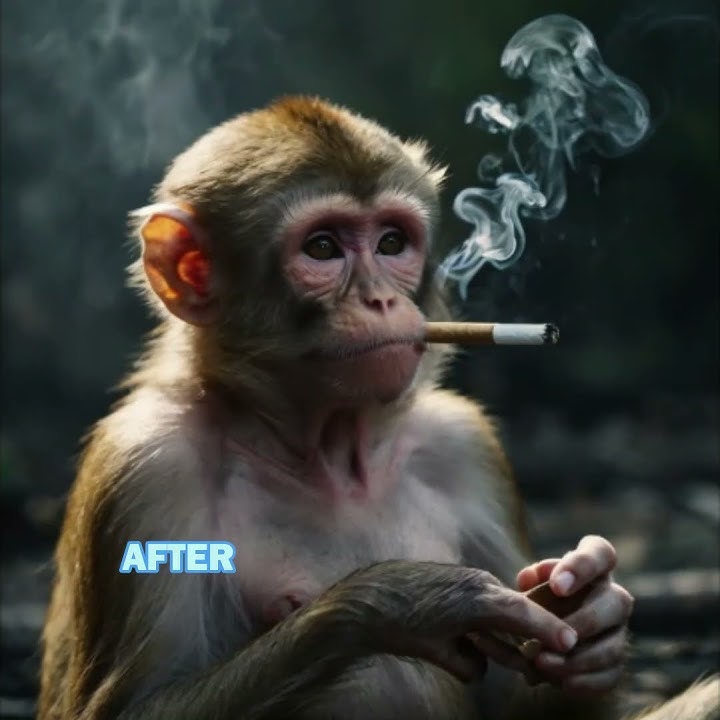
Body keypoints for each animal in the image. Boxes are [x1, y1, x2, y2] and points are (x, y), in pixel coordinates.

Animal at [38, 96, 719, 720]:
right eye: (321, 248)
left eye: (392, 242)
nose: (382, 301)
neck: (325, 448)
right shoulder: (146, 467)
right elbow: (136, 708)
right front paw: (407, 601)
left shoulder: (463, 442)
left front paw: (593, 618)